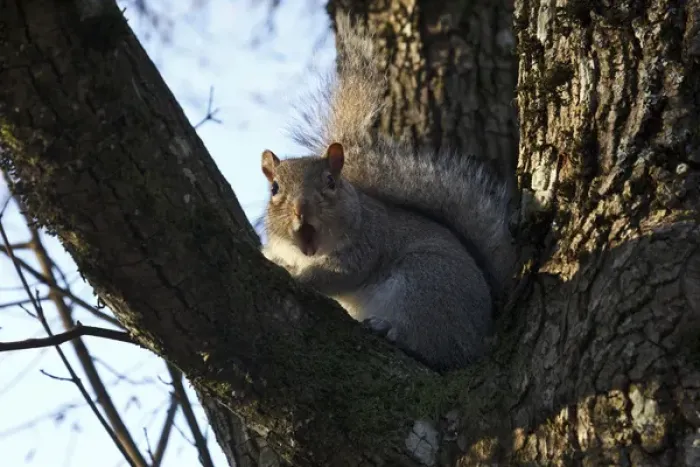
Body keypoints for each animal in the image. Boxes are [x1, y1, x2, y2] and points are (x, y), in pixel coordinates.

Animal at [260, 14, 515, 372]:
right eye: (275, 189)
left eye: (330, 182)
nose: (302, 209)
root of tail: (481, 336)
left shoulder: (370, 242)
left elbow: (340, 275)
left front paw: (300, 276)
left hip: (425, 286)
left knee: (434, 347)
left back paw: (390, 330)